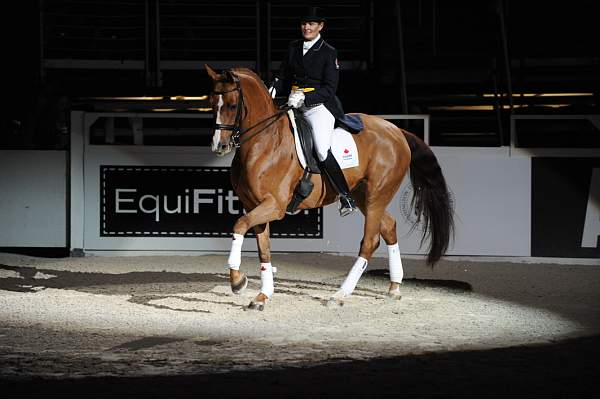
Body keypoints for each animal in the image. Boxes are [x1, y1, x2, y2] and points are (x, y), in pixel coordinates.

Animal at [204, 65, 452, 310]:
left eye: (232, 105)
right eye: (212, 104)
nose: (219, 146)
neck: (264, 141)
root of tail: (396, 131)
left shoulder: (274, 206)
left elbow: (239, 225)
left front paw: (238, 281)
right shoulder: (253, 205)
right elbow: (263, 248)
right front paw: (262, 295)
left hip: (376, 195)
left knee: (370, 241)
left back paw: (340, 294)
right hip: (363, 195)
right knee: (389, 227)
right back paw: (394, 287)